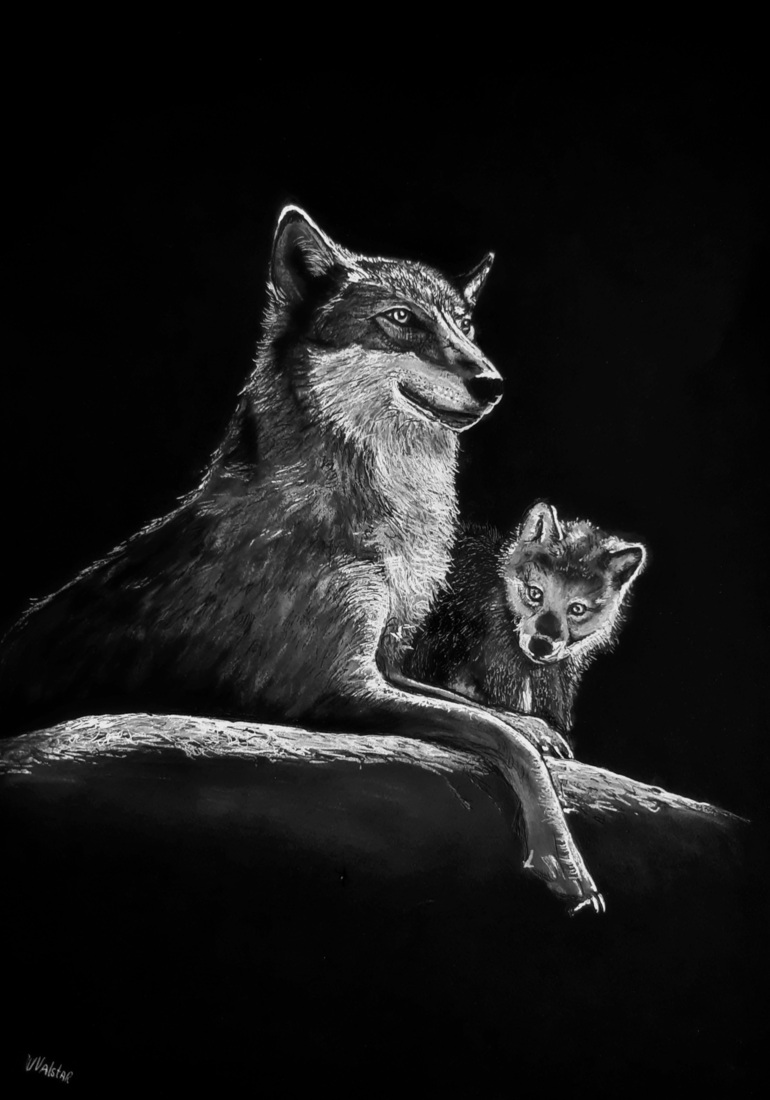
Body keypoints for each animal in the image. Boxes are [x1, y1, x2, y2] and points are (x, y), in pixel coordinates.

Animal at [0, 206, 603, 911]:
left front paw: (536, 728)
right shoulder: (336, 688)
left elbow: (485, 712)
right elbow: (502, 738)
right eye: (401, 318)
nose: (494, 384)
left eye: (466, 324)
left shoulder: (383, 664)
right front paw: (563, 859)